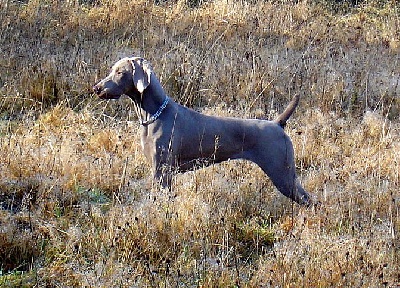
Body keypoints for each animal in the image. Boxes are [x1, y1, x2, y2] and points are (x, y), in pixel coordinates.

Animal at [94, 56, 312, 205]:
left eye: (120, 72)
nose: (96, 88)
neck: (155, 114)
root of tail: (277, 123)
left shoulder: (162, 171)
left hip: (282, 173)